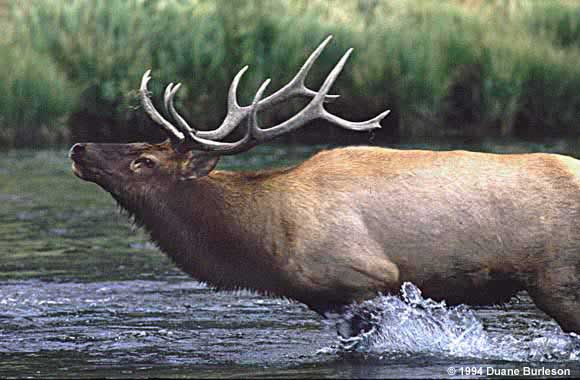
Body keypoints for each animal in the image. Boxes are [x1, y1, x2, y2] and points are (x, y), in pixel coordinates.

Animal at [70, 36, 580, 338]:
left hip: (557, 278)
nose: (78, 147)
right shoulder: (327, 302)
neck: (265, 240)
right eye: (138, 143)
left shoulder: (366, 278)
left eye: (145, 161)